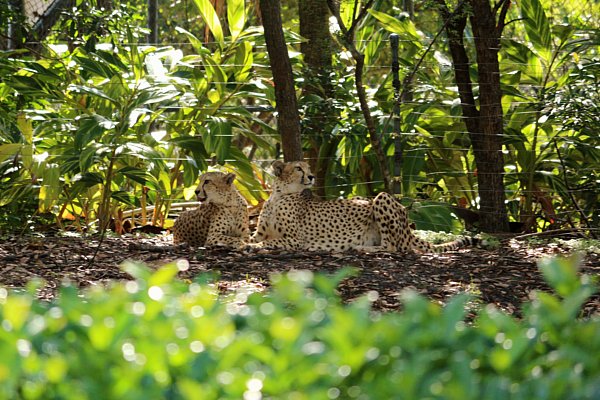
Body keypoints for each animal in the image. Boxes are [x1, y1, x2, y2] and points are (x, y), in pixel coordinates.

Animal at [252, 160, 478, 252]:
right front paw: (247, 244)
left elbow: (270, 242)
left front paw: (254, 247)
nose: (312, 176)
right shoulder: (259, 231)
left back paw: (362, 248)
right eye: (298, 168)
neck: (279, 195)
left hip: (381, 197)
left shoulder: (297, 240)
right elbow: (251, 237)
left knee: (394, 247)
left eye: (308, 168)